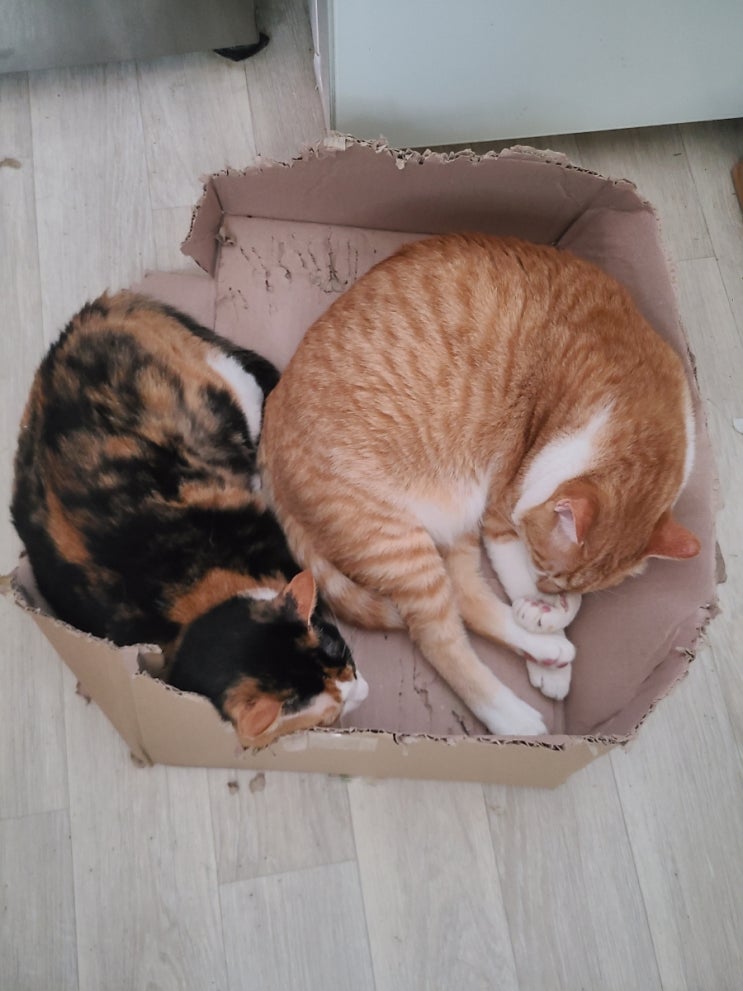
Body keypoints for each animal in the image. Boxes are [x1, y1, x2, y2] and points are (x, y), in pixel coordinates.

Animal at [11, 291, 367, 747]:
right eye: (330, 713)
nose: (363, 689)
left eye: (342, 651)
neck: (196, 607)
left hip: (231, 389)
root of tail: (91, 315)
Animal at [258, 233, 700, 737]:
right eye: (542, 565)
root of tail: (270, 421)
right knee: (437, 633)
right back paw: (516, 715)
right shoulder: (503, 511)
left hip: (452, 522)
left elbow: (565, 603)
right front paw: (542, 617)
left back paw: (549, 653)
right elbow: (521, 578)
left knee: (465, 596)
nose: (547, 591)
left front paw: (549, 630)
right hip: (395, 539)